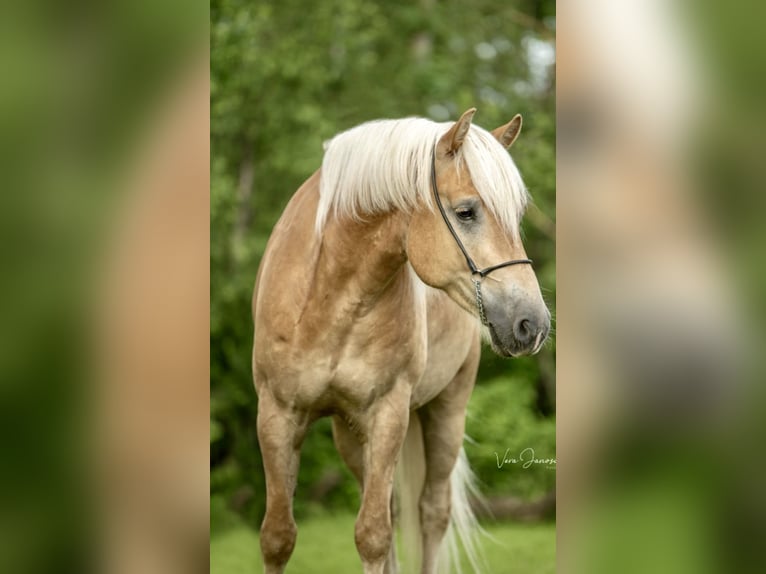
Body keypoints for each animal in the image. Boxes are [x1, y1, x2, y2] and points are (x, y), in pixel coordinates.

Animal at [254, 109, 552, 574]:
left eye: (517, 214)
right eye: (466, 212)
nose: (532, 324)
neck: (328, 297)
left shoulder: (388, 414)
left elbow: (372, 535)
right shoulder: (276, 415)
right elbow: (278, 537)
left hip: (446, 412)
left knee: (431, 511)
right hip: (349, 433)